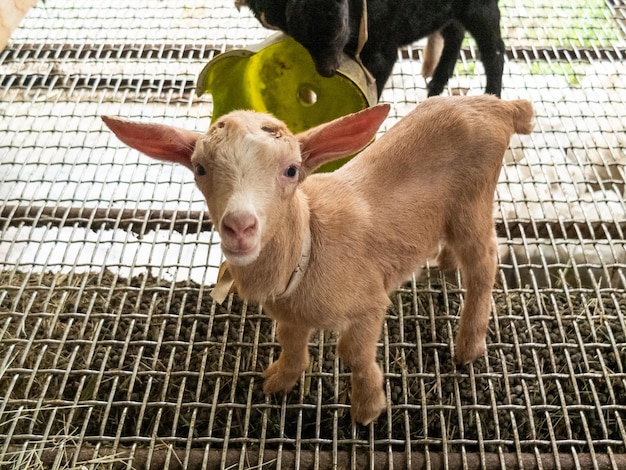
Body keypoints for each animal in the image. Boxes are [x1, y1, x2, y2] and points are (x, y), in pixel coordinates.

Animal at [102, 93, 532, 424]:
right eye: (200, 168)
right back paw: (443, 262)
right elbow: (291, 344)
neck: (309, 243)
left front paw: (367, 409)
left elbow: (354, 354)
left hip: (473, 202)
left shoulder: (369, 304)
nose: (240, 227)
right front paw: (278, 381)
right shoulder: (291, 314)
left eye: (292, 170)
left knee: (484, 265)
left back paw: (468, 345)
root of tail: (498, 105)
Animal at [238, 0, 502, 97]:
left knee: (495, 50)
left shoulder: (383, 51)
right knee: (455, 33)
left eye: (337, 29)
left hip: (481, 8)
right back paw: (436, 86)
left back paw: (492, 97)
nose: (326, 71)